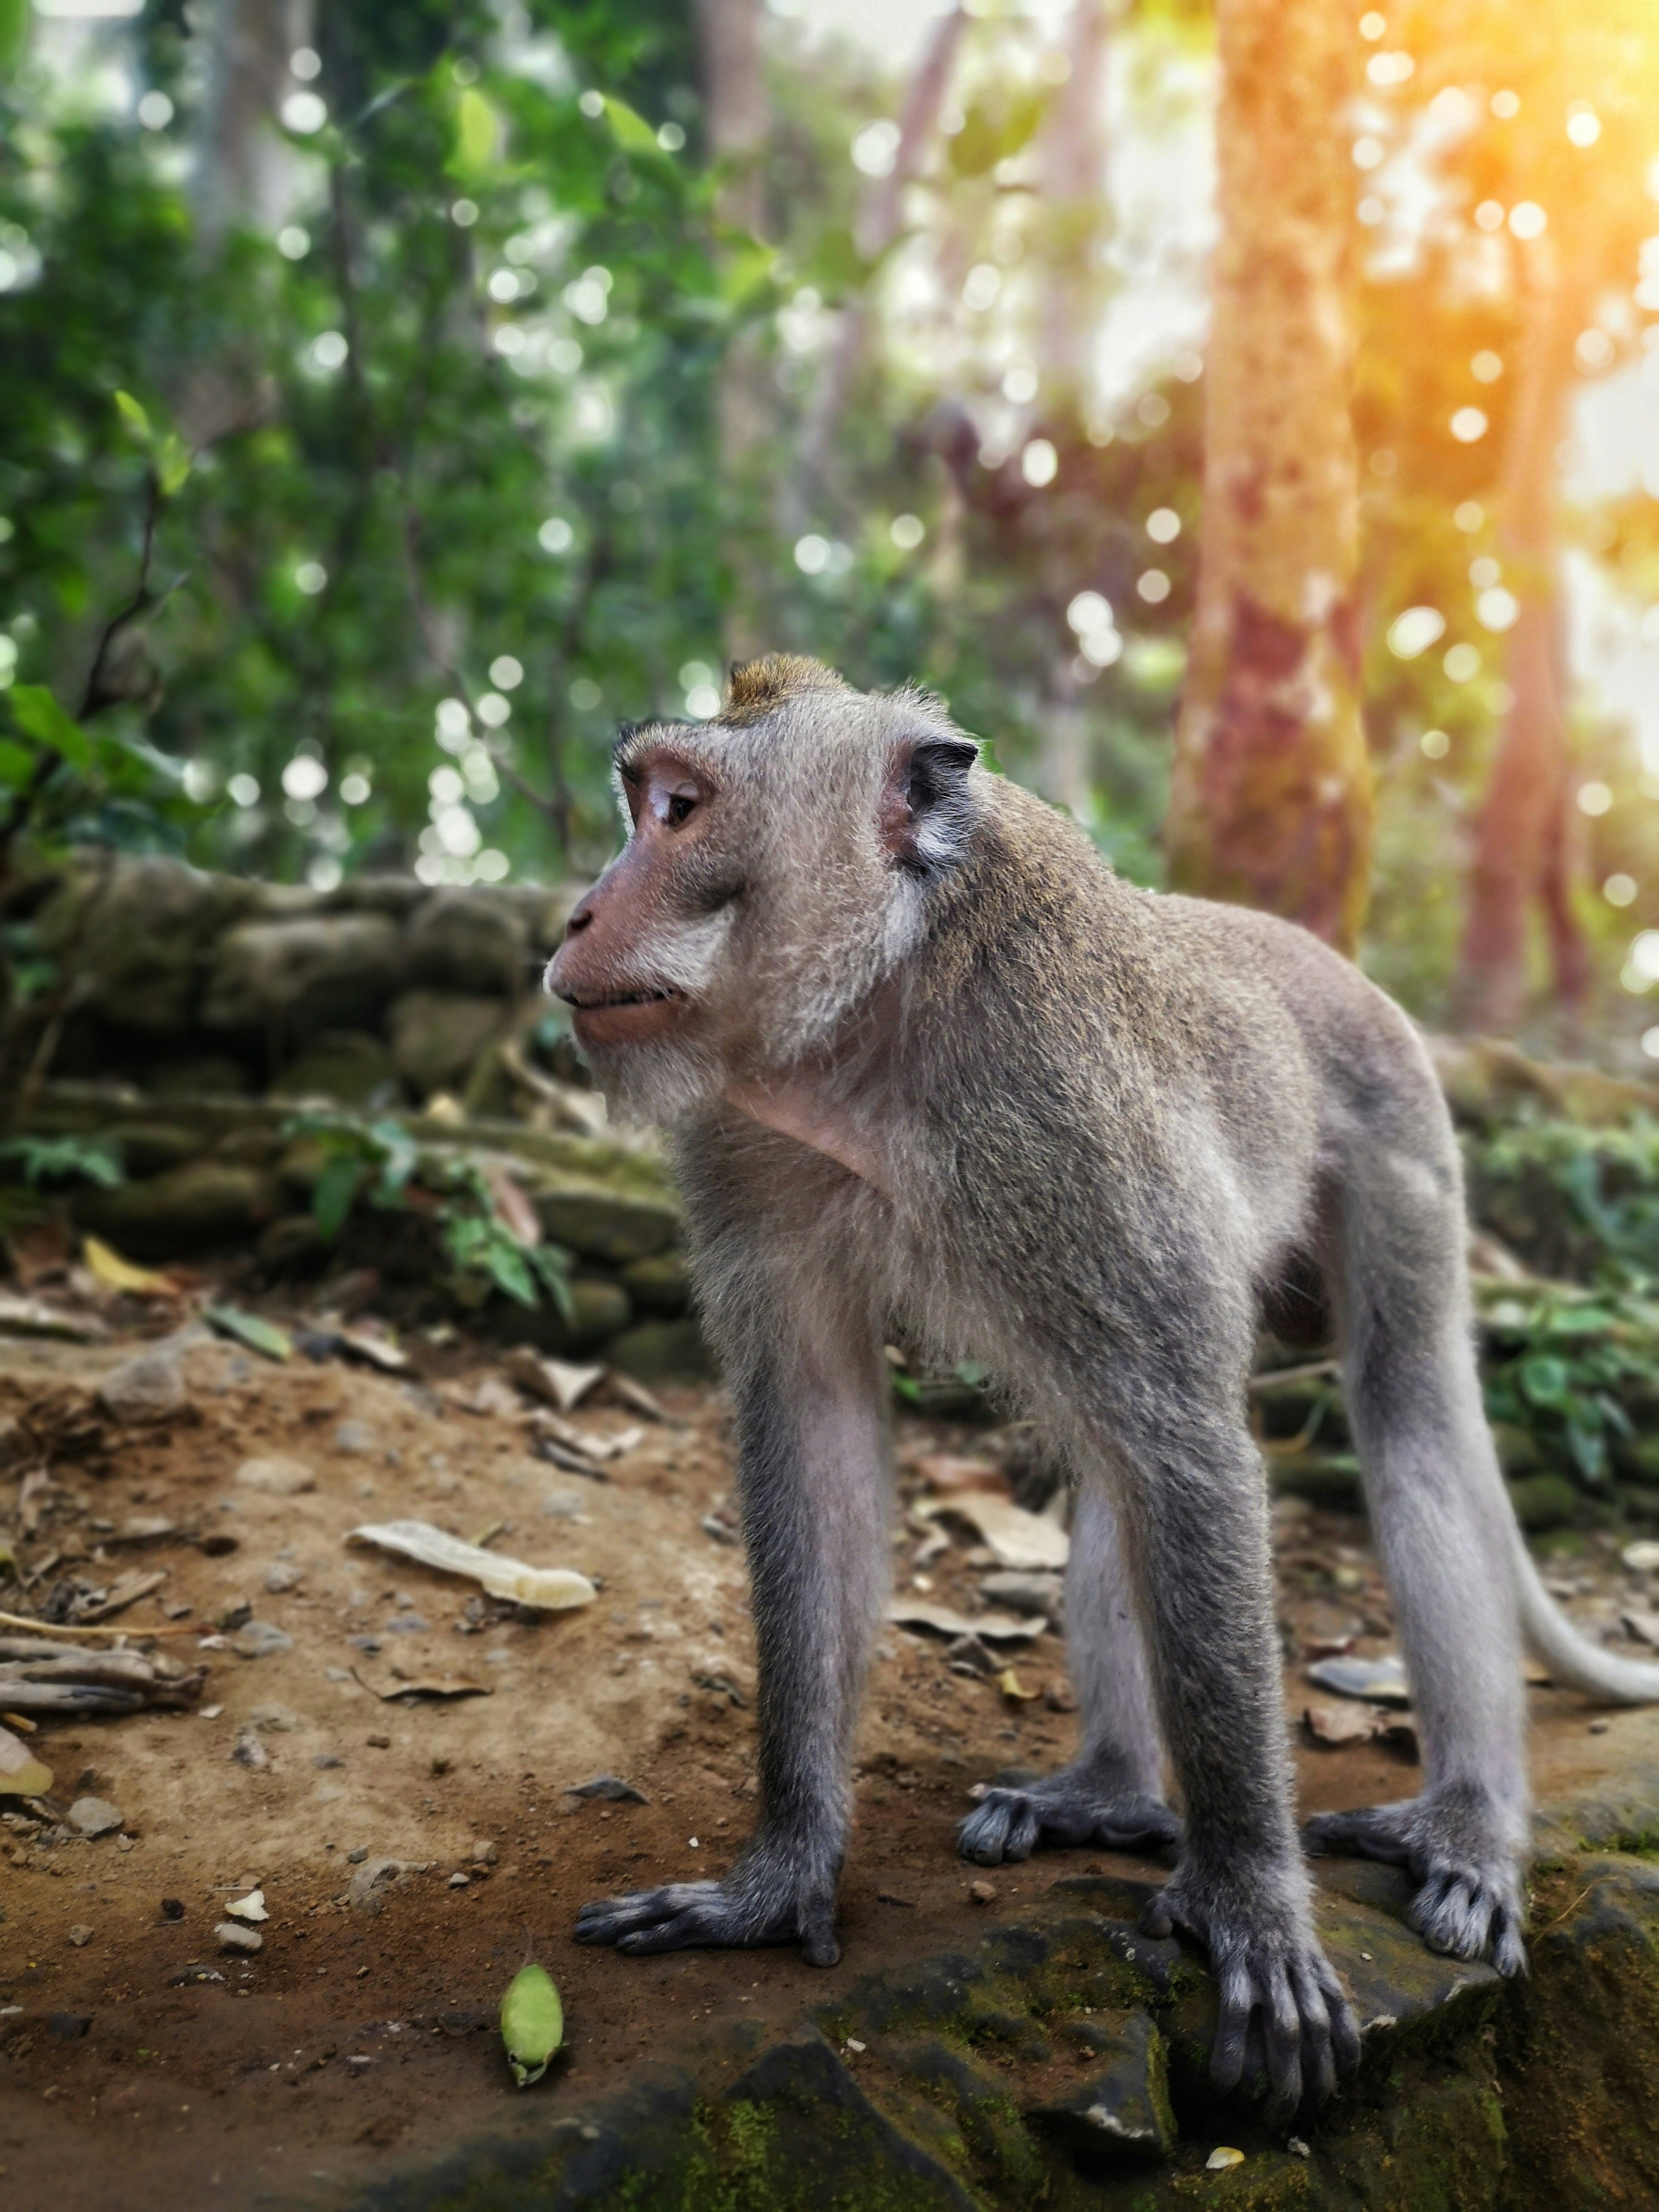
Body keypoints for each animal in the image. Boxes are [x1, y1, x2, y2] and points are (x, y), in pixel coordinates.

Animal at [547, 654, 1659, 2119]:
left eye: (678, 810)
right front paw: (779, 1873)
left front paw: (1249, 1903)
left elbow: (1190, 1446)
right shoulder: (752, 1145)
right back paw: (1119, 1791)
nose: (577, 910)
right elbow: (822, 1430)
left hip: (1403, 1137)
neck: (879, 1025)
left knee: (1402, 1414)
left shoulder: (1071, 1121)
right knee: (1109, 1461)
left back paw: (1465, 1821)